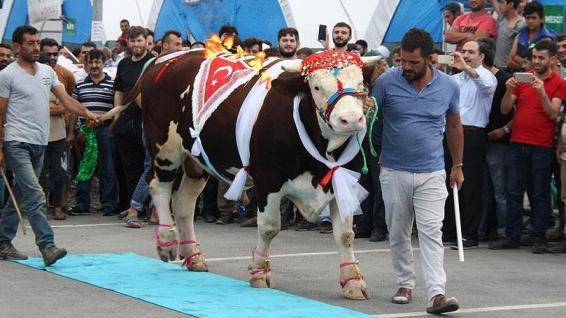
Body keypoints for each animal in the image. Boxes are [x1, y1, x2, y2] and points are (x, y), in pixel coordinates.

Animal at [120, 48, 380, 300]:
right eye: (316, 87)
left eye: (361, 85)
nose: (350, 120)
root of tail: (167, 58)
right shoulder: (268, 179)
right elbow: (269, 227)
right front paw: (259, 273)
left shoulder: (345, 180)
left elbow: (345, 234)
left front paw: (353, 282)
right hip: (166, 149)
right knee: (158, 187)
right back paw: (167, 242)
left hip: (198, 160)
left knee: (184, 203)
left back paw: (193, 256)